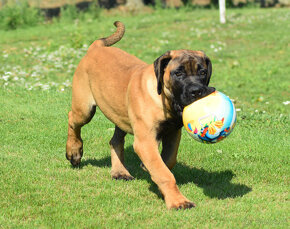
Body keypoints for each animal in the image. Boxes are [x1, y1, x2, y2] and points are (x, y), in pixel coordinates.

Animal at [66, 21, 215, 209]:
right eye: (178, 73)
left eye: (202, 73)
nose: (197, 91)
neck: (163, 99)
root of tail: (96, 47)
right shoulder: (145, 140)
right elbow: (164, 172)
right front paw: (177, 200)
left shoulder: (173, 133)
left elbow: (168, 161)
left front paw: (151, 171)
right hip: (84, 108)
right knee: (73, 120)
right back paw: (74, 151)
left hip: (120, 113)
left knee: (115, 140)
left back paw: (119, 171)